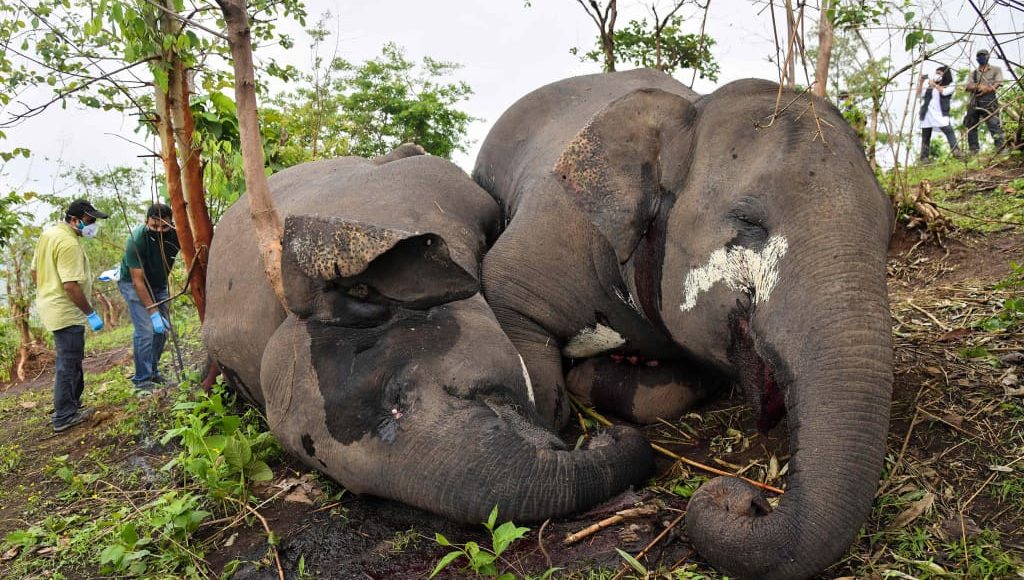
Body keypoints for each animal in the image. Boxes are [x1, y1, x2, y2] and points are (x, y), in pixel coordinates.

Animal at [473, 69, 894, 579]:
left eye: (889, 227)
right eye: (749, 222)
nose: (749, 500)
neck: (690, 114)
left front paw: (608, 371)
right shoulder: (555, 224)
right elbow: (505, 295)